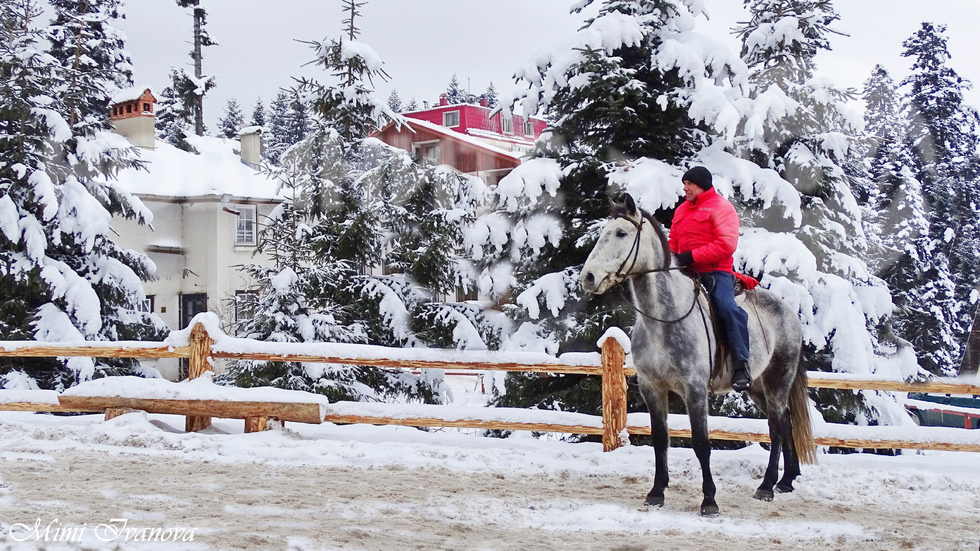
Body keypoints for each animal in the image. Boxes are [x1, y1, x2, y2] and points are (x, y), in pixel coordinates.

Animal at [580, 195, 816, 516]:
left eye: (620, 233)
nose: (588, 277)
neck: (663, 320)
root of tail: (790, 312)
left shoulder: (694, 389)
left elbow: (702, 443)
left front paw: (709, 500)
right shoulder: (652, 388)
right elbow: (660, 440)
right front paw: (656, 492)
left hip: (778, 381)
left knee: (777, 427)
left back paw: (767, 486)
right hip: (757, 387)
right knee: (786, 421)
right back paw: (787, 480)